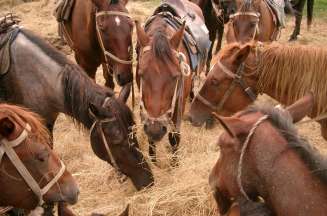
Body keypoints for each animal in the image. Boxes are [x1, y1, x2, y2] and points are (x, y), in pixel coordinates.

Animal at [134, 0, 206, 164]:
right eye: (141, 74)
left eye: (175, 76)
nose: (155, 129)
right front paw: (153, 160)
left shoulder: (178, 103)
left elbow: (174, 137)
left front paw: (174, 164)